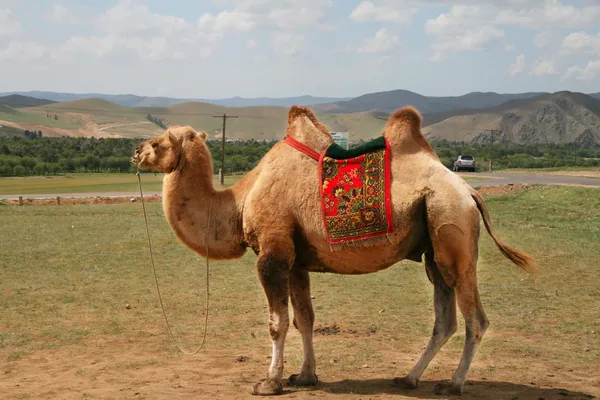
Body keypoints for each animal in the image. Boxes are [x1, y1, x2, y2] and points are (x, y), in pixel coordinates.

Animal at [130, 105, 536, 396]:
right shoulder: (296, 261)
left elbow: (277, 323)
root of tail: (470, 191)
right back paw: (408, 379)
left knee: (475, 319)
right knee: (445, 318)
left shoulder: (273, 254)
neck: (240, 201)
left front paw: (269, 382)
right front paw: (305, 376)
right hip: (434, 247)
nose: (135, 151)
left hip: (452, 228)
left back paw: (452, 384)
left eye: (161, 141)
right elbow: (304, 318)